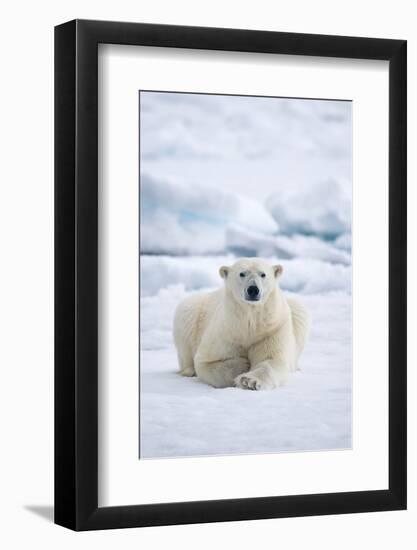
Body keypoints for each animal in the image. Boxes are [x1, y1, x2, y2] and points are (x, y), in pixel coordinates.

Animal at [172, 260, 308, 392]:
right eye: (242, 273)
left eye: (263, 274)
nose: (253, 289)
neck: (248, 322)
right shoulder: (226, 330)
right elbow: (206, 361)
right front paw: (243, 364)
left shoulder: (271, 329)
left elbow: (271, 360)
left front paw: (249, 381)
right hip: (192, 309)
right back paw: (188, 371)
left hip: (295, 311)